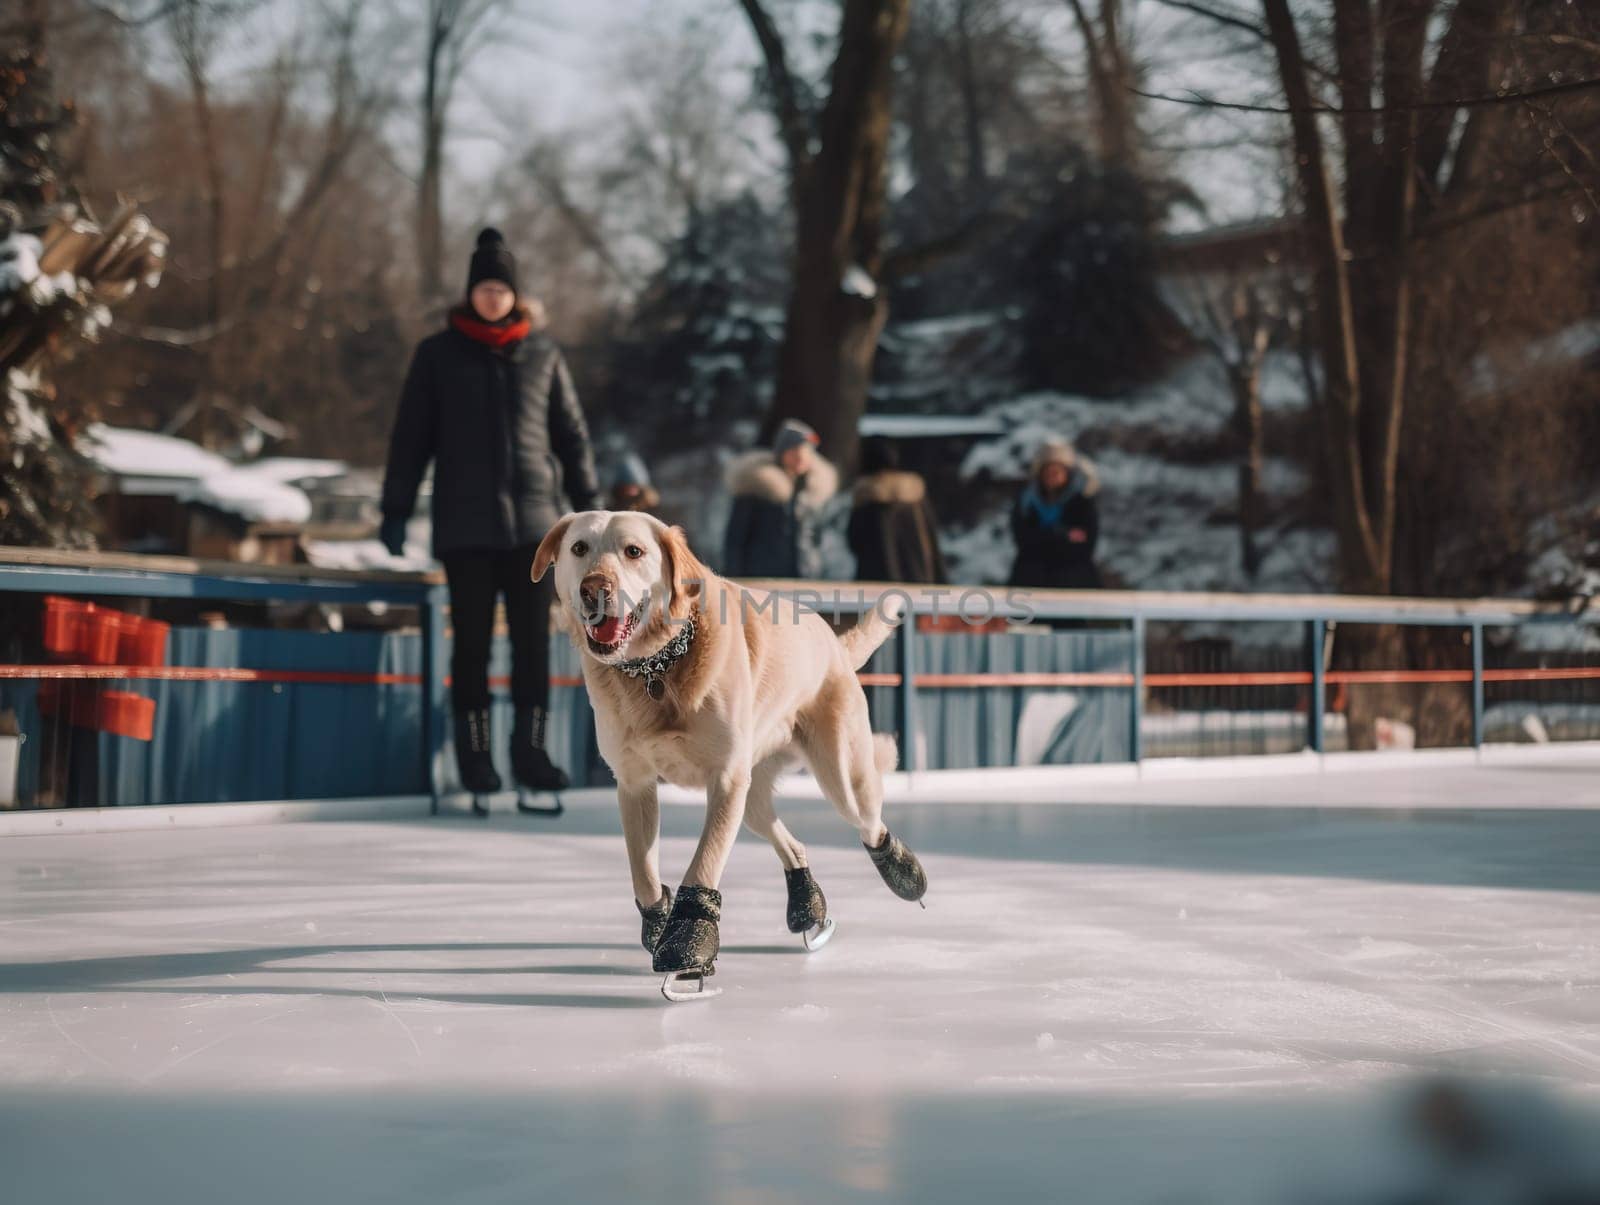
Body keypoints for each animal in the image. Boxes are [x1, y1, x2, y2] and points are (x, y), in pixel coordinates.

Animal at [531, 512, 928, 992]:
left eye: (633, 551)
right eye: (579, 548)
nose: (595, 588)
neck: (658, 665)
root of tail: (831, 642)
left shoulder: (723, 780)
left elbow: (705, 860)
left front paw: (689, 946)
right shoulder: (634, 782)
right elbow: (643, 873)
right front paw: (660, 924)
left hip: (841, 777)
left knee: (870, 823)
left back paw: (905, 874)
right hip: (753, 798)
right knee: (791, 843)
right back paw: (808, 907)